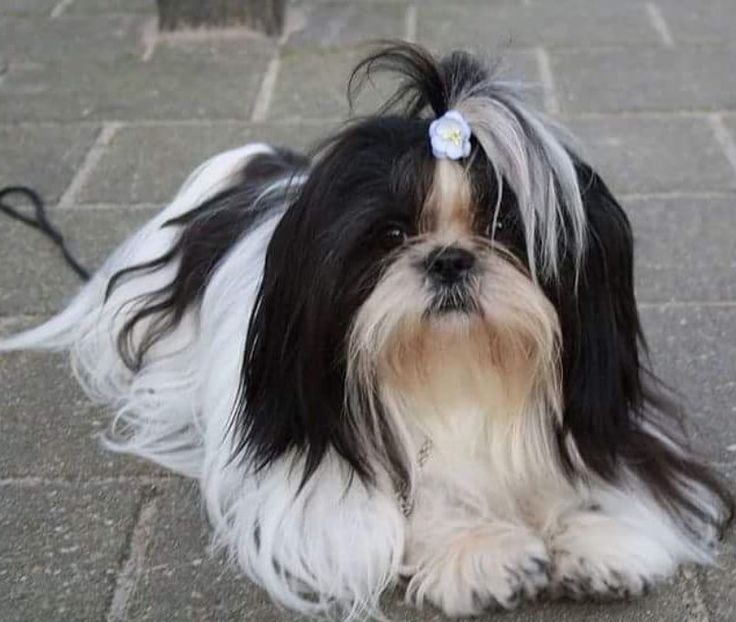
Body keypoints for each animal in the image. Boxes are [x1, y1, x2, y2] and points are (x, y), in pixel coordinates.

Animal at [2, 42, 732, 620]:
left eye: (503, 229)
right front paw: (478, 550)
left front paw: (598, 534)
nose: (449, 259)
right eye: (391, 235)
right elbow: (400, 503)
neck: (458, 373)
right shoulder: (311, 478)